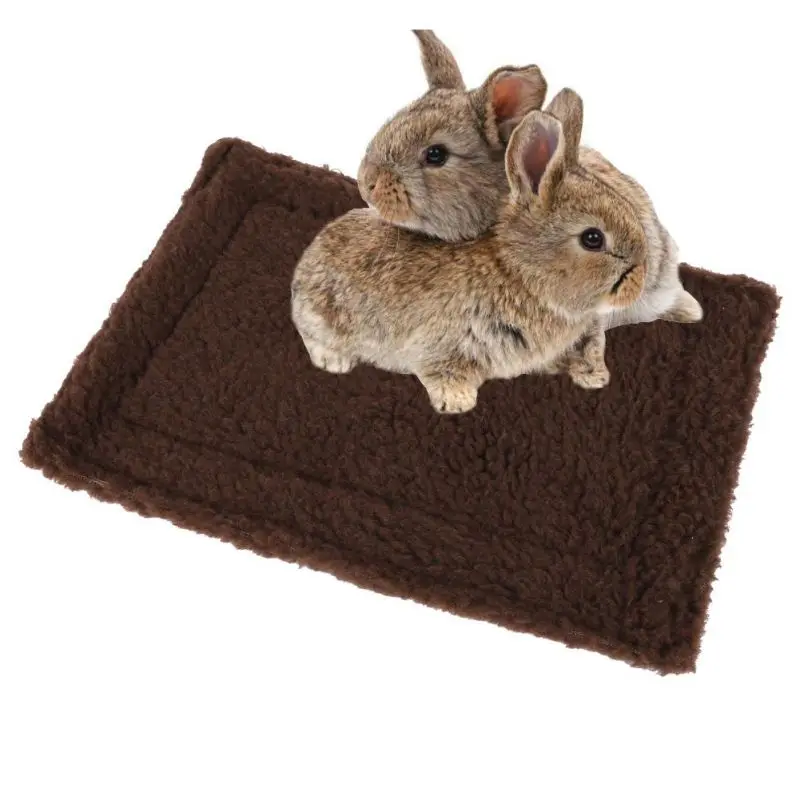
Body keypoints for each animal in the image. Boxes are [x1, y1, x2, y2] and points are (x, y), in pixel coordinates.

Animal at [292, 89, 649, 414]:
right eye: (593, 238)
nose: (639, 281)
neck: (520, 272)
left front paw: (592, 376)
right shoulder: (445, 343)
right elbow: (443, 370)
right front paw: (456, 402)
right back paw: (334, 360)